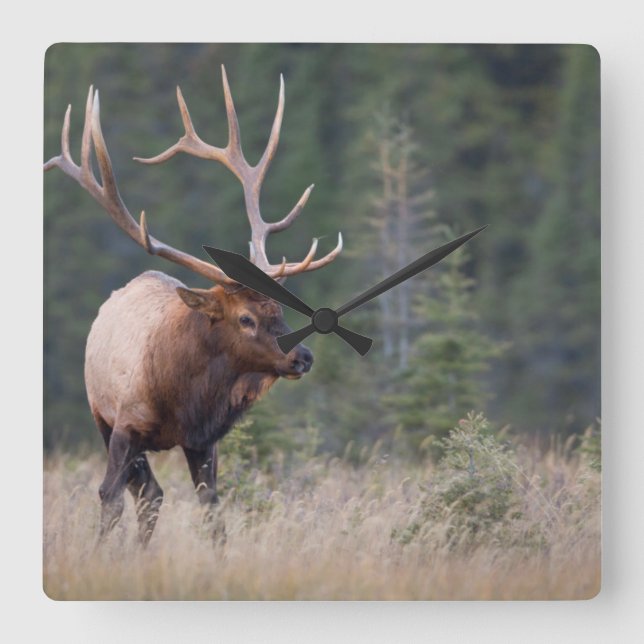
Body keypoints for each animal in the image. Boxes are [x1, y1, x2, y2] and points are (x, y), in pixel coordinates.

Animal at [44, 66, 343, 545]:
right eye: (246, 318)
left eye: (281, 312)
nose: (304, 356)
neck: (182, 397)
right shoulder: (124, 425)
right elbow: (108, 497)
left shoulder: (204, 441)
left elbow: (212, 510)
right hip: (100, 416)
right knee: (142, 493)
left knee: (152, 494)